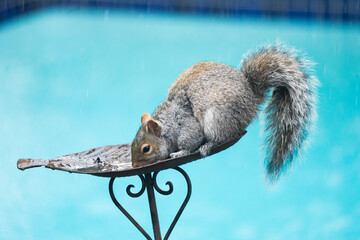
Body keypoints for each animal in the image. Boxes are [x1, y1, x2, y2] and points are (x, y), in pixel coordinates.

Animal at [131, 43, 318, 180]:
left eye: (146, 148)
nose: (134, 166)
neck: (168, 125)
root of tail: (251, 100)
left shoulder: (185, 124)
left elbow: (191, 141)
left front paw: (180, 152)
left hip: (217, 118)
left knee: (222, 137)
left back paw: (208, 145)